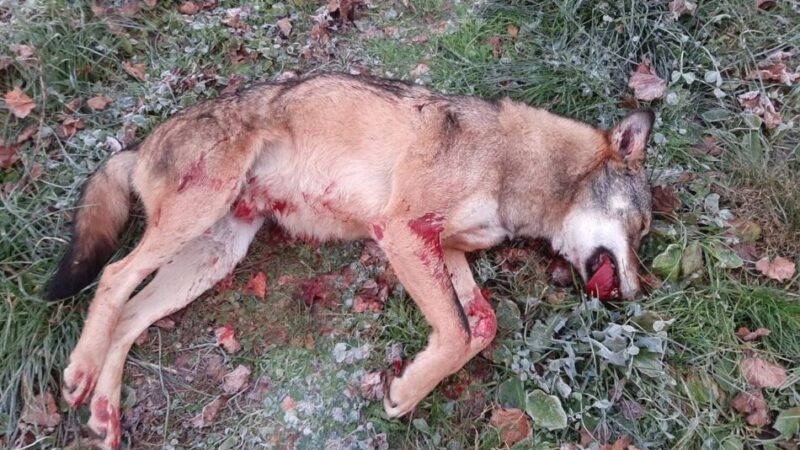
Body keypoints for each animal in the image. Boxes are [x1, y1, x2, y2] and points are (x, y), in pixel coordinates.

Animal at [46, 73, 654, 449]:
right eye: (643, 230)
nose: (638, 293)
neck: (517, 163)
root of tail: (139, 143)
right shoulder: (402, 233)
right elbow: (459, 332)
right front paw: (405, 393)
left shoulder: (443, 247)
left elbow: (480, 326)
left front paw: (417, 377)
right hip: (196, 220)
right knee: (113, 276)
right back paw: (79, 372)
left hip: (212, 257)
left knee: (130, 316)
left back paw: (104, 413)